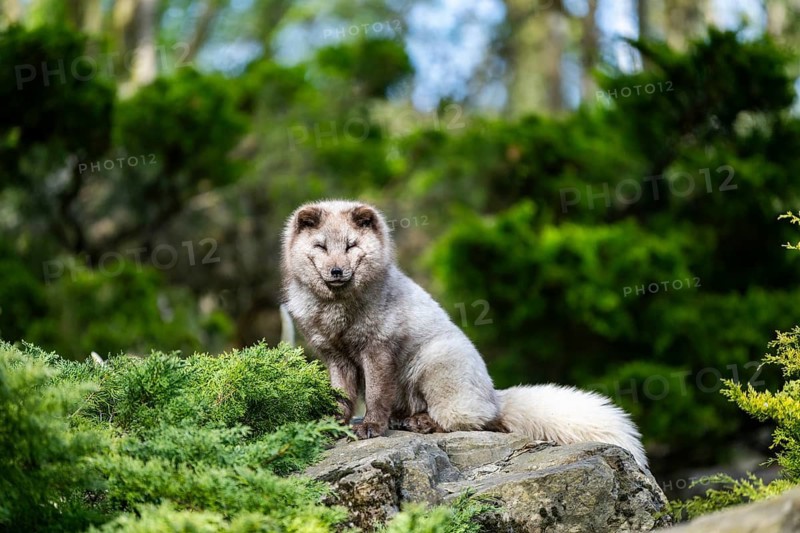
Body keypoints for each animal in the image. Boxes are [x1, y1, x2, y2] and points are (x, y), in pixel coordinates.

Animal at [280, 199, 648, 469]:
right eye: (321, 246)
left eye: (351, 245)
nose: (336, 271)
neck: (338, 314)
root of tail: (495, 396)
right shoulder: (335, 356)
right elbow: (341, 397)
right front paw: (332, 426)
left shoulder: (378, 349)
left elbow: (375, 395)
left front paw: (370, 427)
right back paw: (405, 420)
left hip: (434, 364)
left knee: (476, 422)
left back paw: (420, 423)